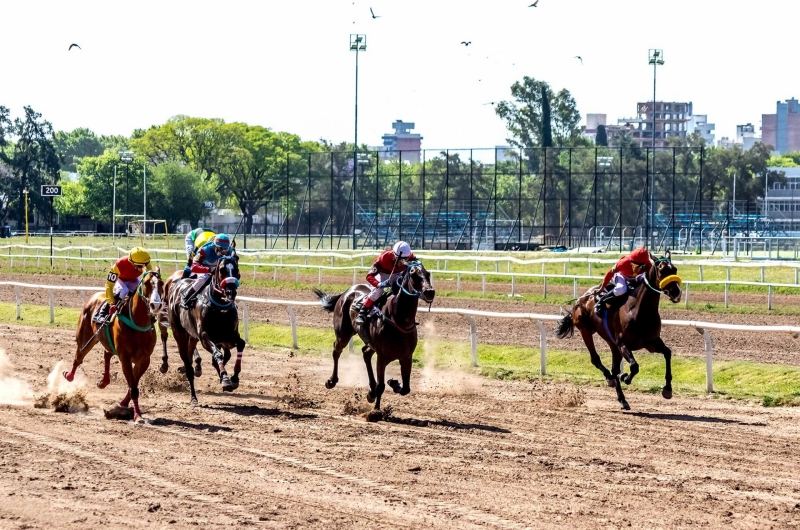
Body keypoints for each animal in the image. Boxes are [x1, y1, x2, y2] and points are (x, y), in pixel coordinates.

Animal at [64, 268, 164, 420]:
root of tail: (93, 296)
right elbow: (133, 387)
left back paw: (104, 382)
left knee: (107, 353)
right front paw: (137, 416)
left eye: (161, 284)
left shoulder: (145, 359)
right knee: (78, 358)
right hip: (85, 339)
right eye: (147, 283)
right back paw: (69, 376)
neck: (138, 323)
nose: (156, 305)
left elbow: (133, 384)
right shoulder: (125, 357)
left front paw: (123, 405)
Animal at [166, 254, 244, 402]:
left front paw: (234, 378)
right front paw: (225, 379)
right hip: (179, 333)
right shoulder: (204, 337)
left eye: (236, 269)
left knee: (191, 355)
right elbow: (218, 354)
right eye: (222, 270)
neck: (220, 307)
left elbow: (240, 345)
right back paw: (193, 397)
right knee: (187, 363)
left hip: (192, 336)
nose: (230, 292)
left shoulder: (229, 336)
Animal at [314, 260, 438, 408]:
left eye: (428, 274)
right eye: (414, 274)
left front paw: (393, 383)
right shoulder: (382, 356)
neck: (399, 321)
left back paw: (371, 391)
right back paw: (332, 381)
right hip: (343, 334)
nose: (429, 292)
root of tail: (347, 291)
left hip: (370, 343)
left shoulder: (406, 357)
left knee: (366, 353)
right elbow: (381, 386)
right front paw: (376, 410)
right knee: (336, 350)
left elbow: (406, 389)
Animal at [556, 251, 680, 408]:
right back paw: (610, 379)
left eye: (674, 269)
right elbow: (634, 366)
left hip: (612, 343)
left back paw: (622, 399)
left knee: (614, 368)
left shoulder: (651, 342)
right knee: (596, 360)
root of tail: (581, 299)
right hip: (586, 331)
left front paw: (667, 389)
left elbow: (667, 353)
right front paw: (625, 377)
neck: (639, 311)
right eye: (662, 270)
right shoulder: (622, 343)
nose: (677, 293)